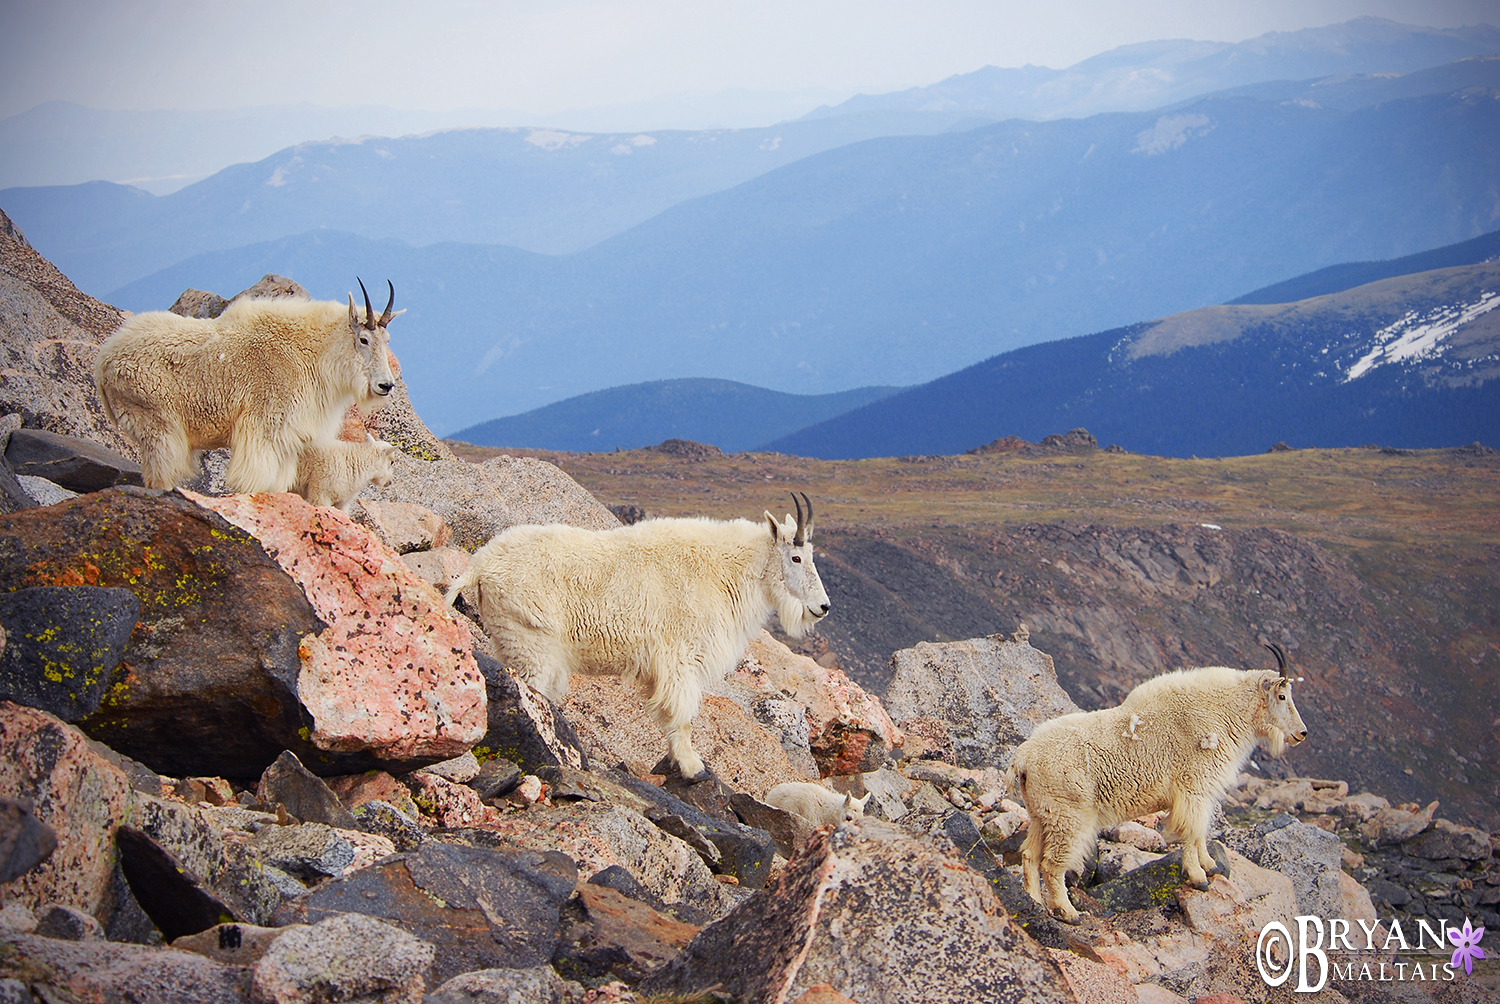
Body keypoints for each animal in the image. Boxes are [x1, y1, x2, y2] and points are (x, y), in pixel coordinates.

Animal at [99, 277, 405, 492]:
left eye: (388, 340)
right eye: (363, 339)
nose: (386, 385)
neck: (311, 354)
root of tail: (104, 361)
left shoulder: (289, 440)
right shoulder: (263, 429)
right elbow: (256, 482)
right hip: (158, 425)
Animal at [450, 492, 840, 774]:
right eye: (796, 558)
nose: (823, 607)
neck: (724, 570)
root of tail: (479, 566)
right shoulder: (680, 658)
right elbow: (683, 716)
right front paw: (692, 767)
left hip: (510, 641)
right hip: (534, 646)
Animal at [1008, 645, 1314, 918]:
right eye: (1282, 695)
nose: (1302, 733)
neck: (1223, 712)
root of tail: (1023, 758)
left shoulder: (1202, 794)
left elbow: (1201, 832)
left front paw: (1211, 865)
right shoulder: (1193, 787)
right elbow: (1191, 832)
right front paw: (1199, 878)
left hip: (1042, 814)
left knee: (1030, 855)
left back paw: (1034, 901)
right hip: (1069, 817)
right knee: (1052, 865)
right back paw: (1069, 912)